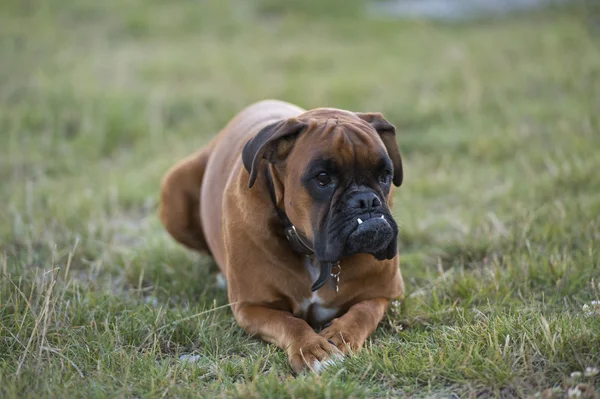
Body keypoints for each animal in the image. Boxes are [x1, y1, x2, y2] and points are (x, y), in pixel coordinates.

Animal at [161, 101, 404, 376]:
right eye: (323, 178)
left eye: (385, 175)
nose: (366, 201)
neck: (314, 256)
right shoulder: (252, 307)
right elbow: (290, 322)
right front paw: (313, 349)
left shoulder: (384, 294)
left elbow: (362, 313)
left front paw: (340, 336)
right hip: (173, 191)